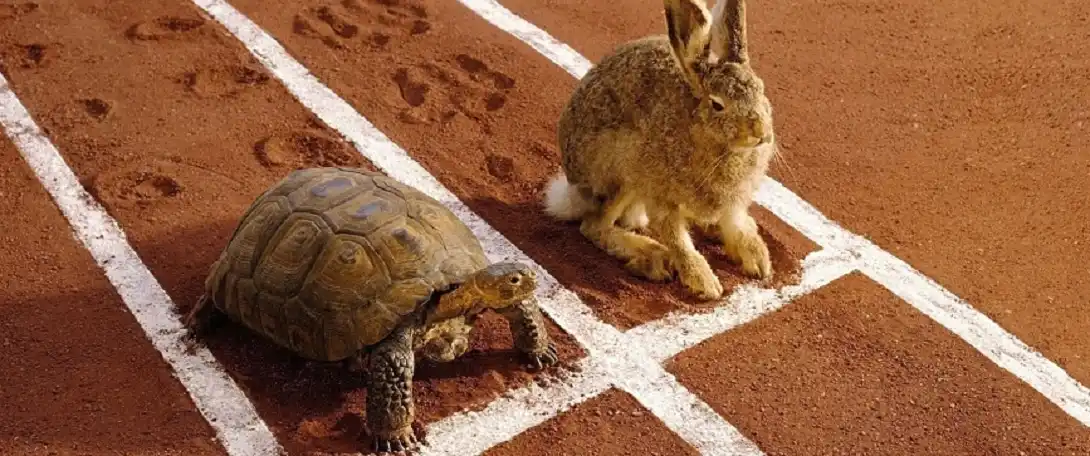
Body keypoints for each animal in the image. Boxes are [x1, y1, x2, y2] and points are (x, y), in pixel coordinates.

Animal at [542, 0, 776, 300]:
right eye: (717, 104)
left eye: (761, 89)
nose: (761, 133)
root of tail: (571, 190)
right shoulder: (660, 194)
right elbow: (678, 240)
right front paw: (705, 283)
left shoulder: (733, 201)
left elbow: (734, 223)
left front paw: (758, 261)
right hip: (622, 171)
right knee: (594, 225)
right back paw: (652, 257)